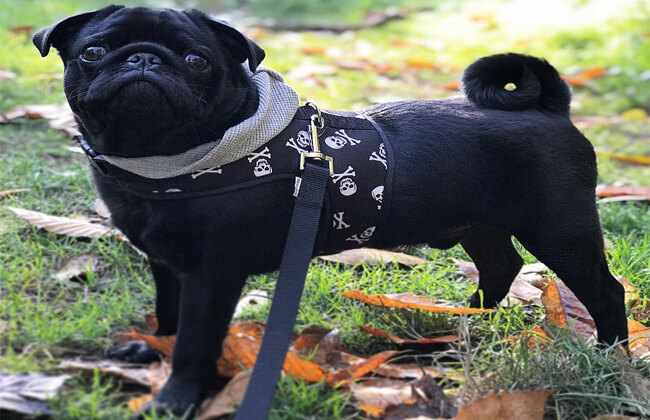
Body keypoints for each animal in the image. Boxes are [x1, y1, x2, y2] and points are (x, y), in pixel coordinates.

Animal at [33, 4, 624, 418]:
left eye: (198, 60)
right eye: (93, 52)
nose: (143, 58)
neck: (162, 157)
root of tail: (551, 108)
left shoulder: (211, 273)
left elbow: (195, 341)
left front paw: (175, 399)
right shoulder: (167, 265)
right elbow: (169, 316)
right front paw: (150, 350)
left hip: (561, 231)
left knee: (603, 290)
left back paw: (611, 354)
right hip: (479, 226)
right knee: (502, 266)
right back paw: (459, 325)